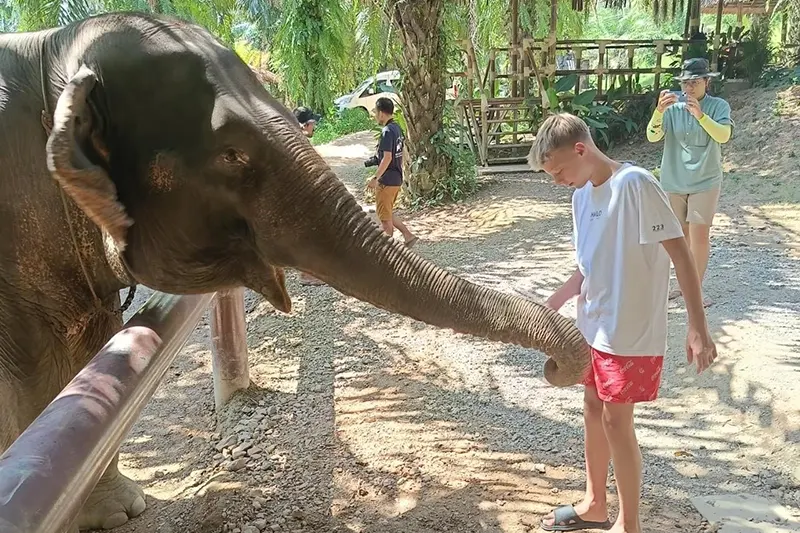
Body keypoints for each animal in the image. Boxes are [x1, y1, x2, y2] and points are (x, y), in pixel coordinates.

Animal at [0, 11, 589, 531]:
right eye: (232, 154)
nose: (555, 368)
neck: (54, 50)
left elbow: (87, 355)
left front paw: (120, 511)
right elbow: (40, 370)